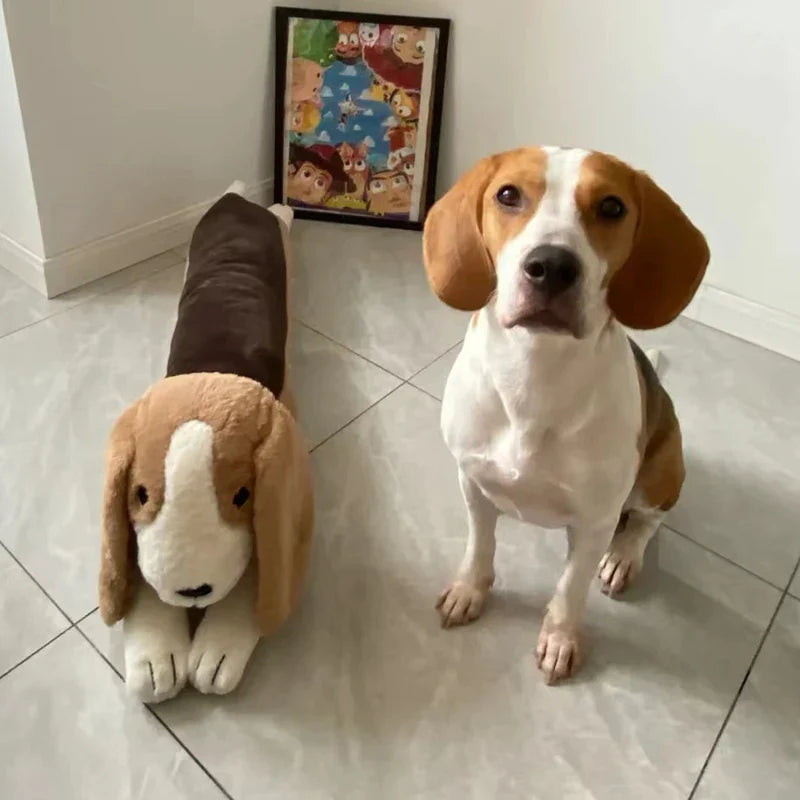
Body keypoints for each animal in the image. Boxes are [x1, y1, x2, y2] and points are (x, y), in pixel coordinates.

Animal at [98, 188, 314, 700]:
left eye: (242, 495)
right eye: (140, 495)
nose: (191, 590)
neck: (215, 367)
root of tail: (236, 198)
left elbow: (258, 577)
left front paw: (217, 654)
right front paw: (156, 659)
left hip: (277, 235)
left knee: (282, 219)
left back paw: (286, 210)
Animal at [422, 144, 708, 680]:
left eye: (612, 207)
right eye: (507, 195)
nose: (551, 266)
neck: (534, 376)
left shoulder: (596, 520)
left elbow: (570, 587)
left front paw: (560, 637)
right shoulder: (472, 481)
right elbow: (480, 545)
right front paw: (471, 589)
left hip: (662, 469)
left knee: (649, 521)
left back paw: (623, 556)